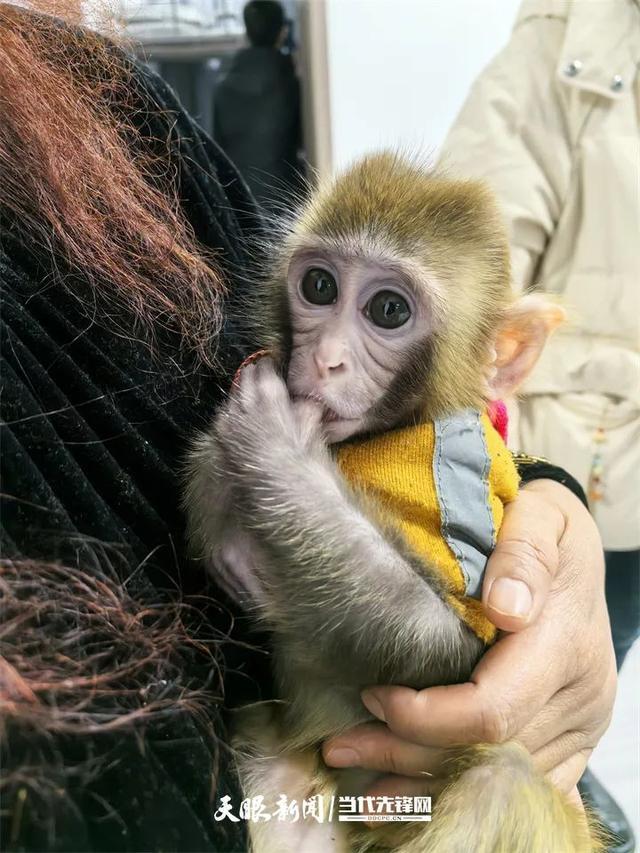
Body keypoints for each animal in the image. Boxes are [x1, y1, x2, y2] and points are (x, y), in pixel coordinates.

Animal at [185, 155, 596, 852]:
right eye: (319, 286)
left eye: (387, 309)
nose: (325, 360)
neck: (395, 430)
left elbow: (439, 643)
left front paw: (274, 444)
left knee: (502, 781)